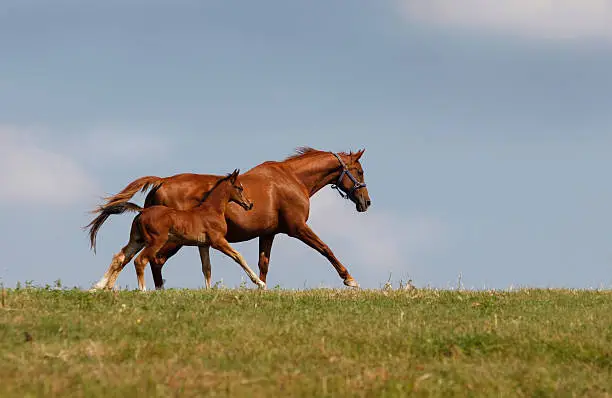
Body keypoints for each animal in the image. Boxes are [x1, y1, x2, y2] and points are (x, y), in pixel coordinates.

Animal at [91, 169, 266, 290]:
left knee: (121, 257)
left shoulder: (203, 245)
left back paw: (102, 287)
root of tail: (142, 211)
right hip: (156, 241)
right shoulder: (218, 241)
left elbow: (207, 268)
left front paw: (209, 290)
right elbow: (238, 256)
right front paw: (260, 283)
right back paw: (142, 290)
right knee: (140, 261)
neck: (211, 210)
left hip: (137, 240)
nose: (250, 204)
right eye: (239, 188)